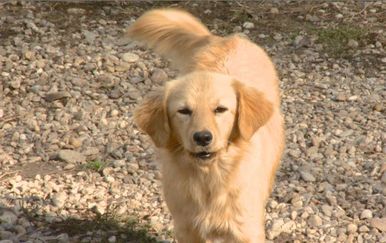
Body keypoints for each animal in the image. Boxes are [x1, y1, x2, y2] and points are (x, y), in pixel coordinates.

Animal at [126, 8, 284, 242]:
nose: (202, 138)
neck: (210, 179)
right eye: (183, 111)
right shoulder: (186, 227)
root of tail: (226, 38)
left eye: (220, 109)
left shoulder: (245, 229)